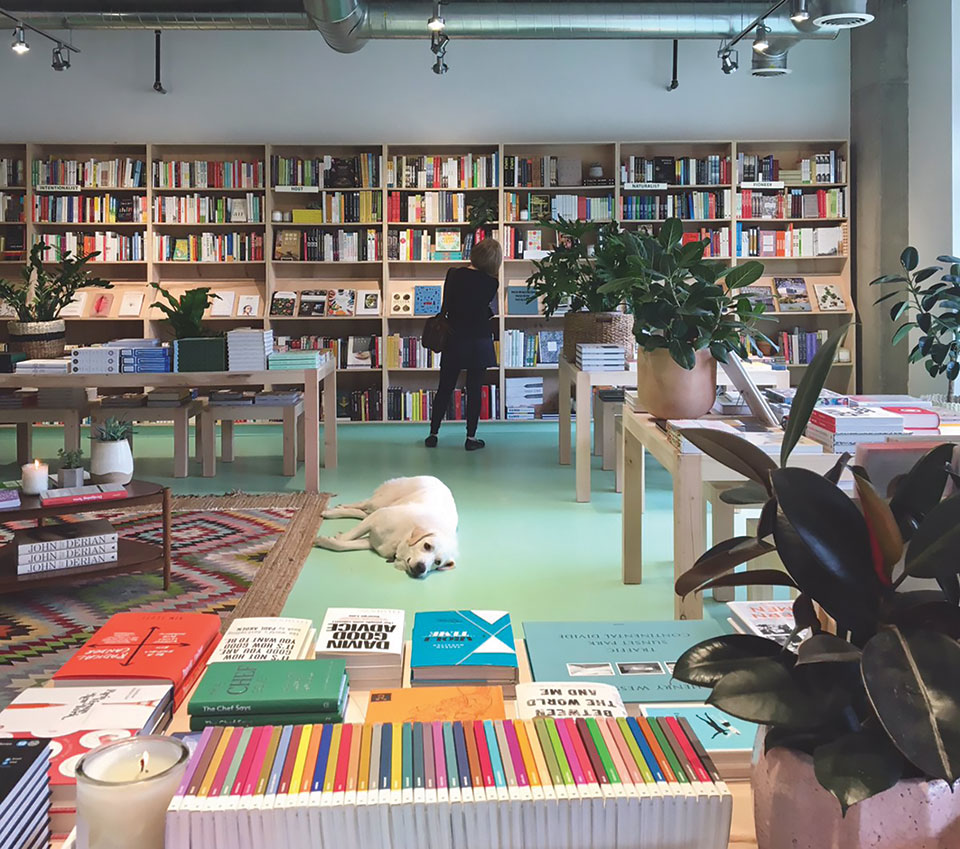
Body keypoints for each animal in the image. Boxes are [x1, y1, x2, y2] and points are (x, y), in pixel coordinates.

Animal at [316, 476, 460, 576]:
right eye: (427, 546)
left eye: (438, 562)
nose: (421, 568)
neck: (402, 537)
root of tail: (436, 479)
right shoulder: (376, 518)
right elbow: (349, 536)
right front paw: (334, 538)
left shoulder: (372, 542)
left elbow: (343, 545)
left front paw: (327, 541)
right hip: (379, 503)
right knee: (363, 503)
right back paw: (335, 510)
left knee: (362, 513)